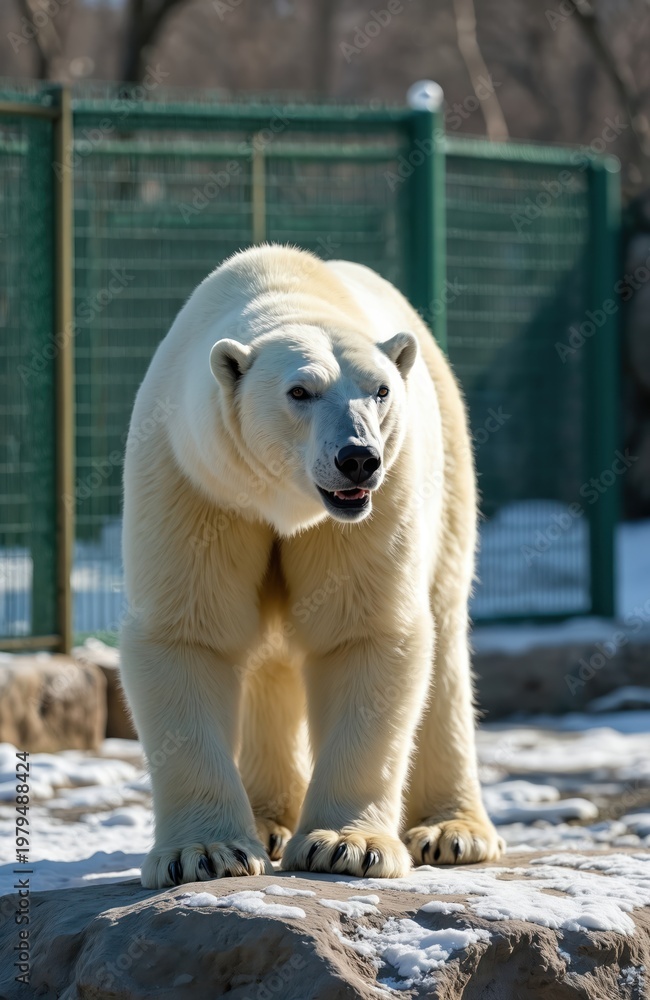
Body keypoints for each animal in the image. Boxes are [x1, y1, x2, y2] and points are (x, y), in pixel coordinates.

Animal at [120, 244, 504, 889]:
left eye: (379, 390)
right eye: (300, 391)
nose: (358, 458)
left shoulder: (374, 508)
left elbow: (363, 632)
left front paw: (346, 846)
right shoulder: (197, 483)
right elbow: (188, 633)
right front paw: (204, 853)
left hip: (449, 466)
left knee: (446, 633)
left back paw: (453, 832)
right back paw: (269, 819)